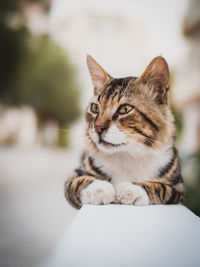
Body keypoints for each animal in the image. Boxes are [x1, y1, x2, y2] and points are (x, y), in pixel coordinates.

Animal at [64, 55, 184, 209]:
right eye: (95, 107)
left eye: (125, 109)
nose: (98, 128)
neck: (127, 155)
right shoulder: (74, 176)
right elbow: (79, 182)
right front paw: (98, 189)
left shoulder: (178, 187)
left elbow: (160, 187)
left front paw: (133, 189)